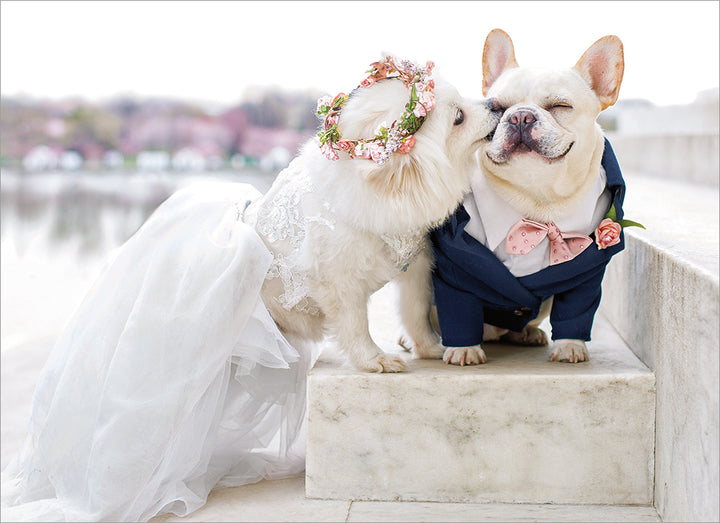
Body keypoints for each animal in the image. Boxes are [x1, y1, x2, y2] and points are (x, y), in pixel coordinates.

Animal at [243, 58, 500, 372]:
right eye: (459, 117)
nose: (495, 103)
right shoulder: (340, 283)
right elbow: (356, 326)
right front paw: (374, 359)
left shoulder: (416, 267)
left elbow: (415, 312)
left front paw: (429, 348)